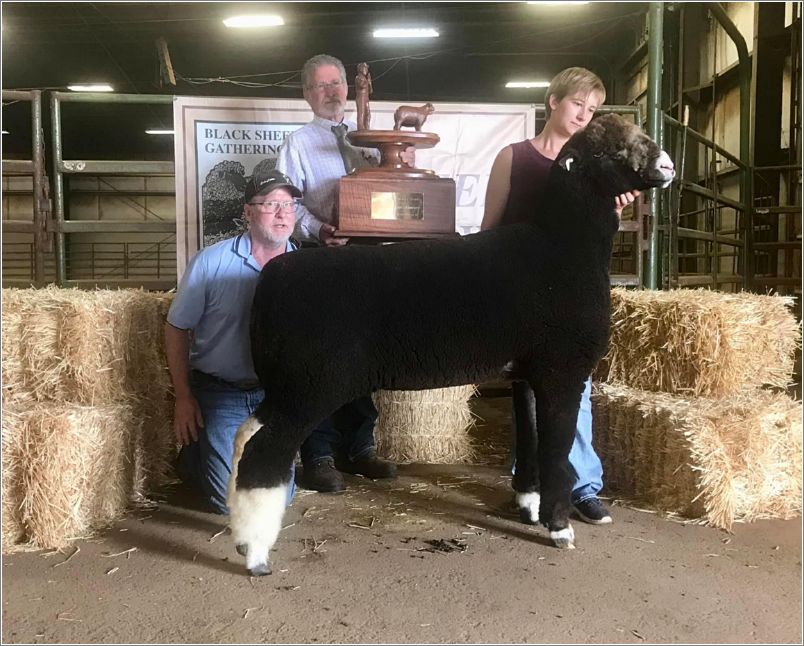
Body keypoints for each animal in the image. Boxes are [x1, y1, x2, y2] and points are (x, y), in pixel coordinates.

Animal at [225, 115, 672, 576]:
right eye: (608, 152)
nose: (667, 165)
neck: (562, 245)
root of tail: (271, 279)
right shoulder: (561, 371)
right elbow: (556, 452)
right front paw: (559, 528)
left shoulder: (527, 374)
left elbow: (530, 438)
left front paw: (529, 505)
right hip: (312, 385)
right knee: (263, 450)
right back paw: (255, 552)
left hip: (287, 385)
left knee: (245, 435)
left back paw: (242, 534)